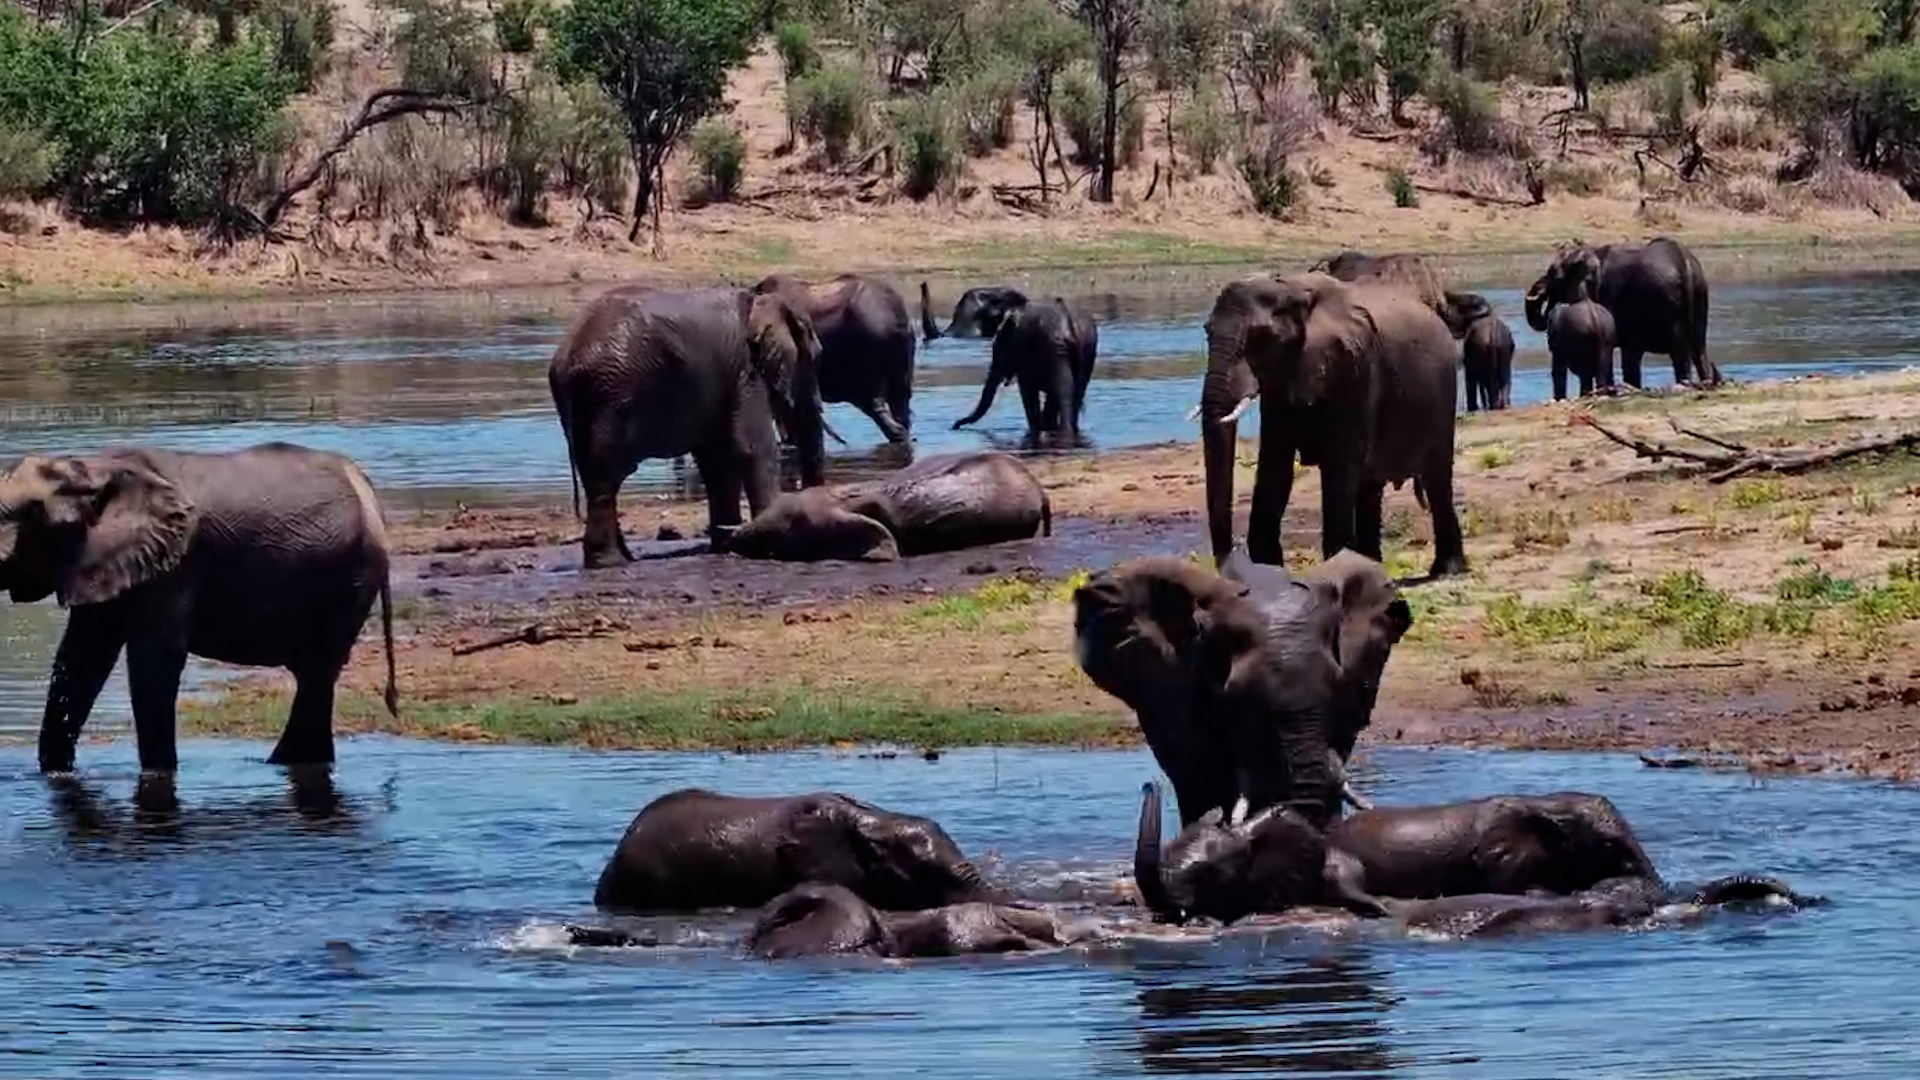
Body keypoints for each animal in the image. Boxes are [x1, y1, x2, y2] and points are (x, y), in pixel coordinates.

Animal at [0, 444, 398, 774]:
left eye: (32, 514)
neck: (93, 467)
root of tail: (369, 493)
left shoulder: (175, 565)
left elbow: (152, 662)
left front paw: (160, 774)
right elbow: (82, 658)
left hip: (351, 575)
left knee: (317, 673)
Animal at [548, 285, 830, 569]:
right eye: (815, 358)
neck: (761, 302)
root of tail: (566, 358)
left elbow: (718, 460)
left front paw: (727, 547)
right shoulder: (746, 374)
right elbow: (753, 449)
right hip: (608, 397)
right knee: (605, 479)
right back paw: (611, 563)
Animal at [1197, 272, 1468, 577]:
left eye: (1259, 337)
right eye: (1207, 331)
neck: (1292, 289)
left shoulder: (1352, 367)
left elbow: (1339, 464)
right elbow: (1275, 465)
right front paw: (1271, 570)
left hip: (1444, 395)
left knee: (1436, 479)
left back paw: (1446, 570)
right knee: (1370, 485)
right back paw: (1373, 567)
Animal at [1523, 237, 1719, 389]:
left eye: (1554, 276)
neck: (1591, 252)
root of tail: (1685, 265)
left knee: (1679, 356)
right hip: (1700, 295)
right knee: (1698, 352)